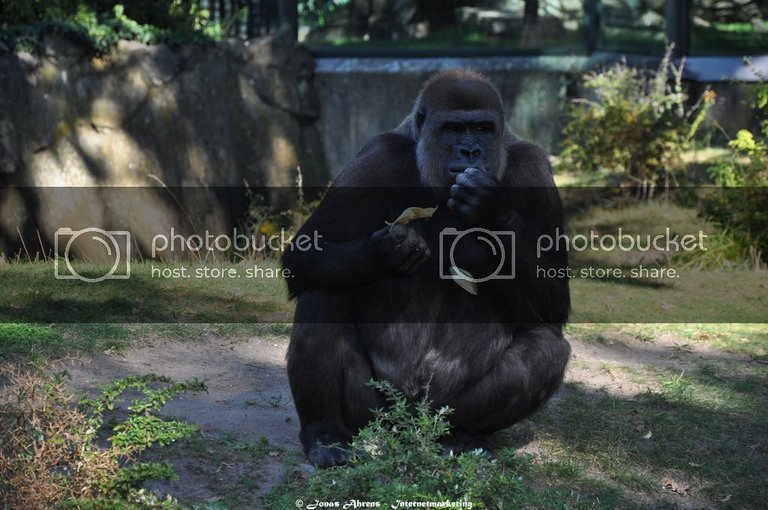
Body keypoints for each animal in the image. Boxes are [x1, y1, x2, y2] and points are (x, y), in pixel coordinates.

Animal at [282, 69, 568, 468]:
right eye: (453, 129)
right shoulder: (377, 157)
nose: (470, 152)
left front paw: (490, 211)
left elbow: (553, 303)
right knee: (322, 292)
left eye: (482, 128)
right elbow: (306, 253)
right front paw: (385, 254)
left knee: (547, 347)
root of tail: (410, 427)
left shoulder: (535, 170)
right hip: (375, 415)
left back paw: (461, 435)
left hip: (438, 412)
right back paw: (324, 432)